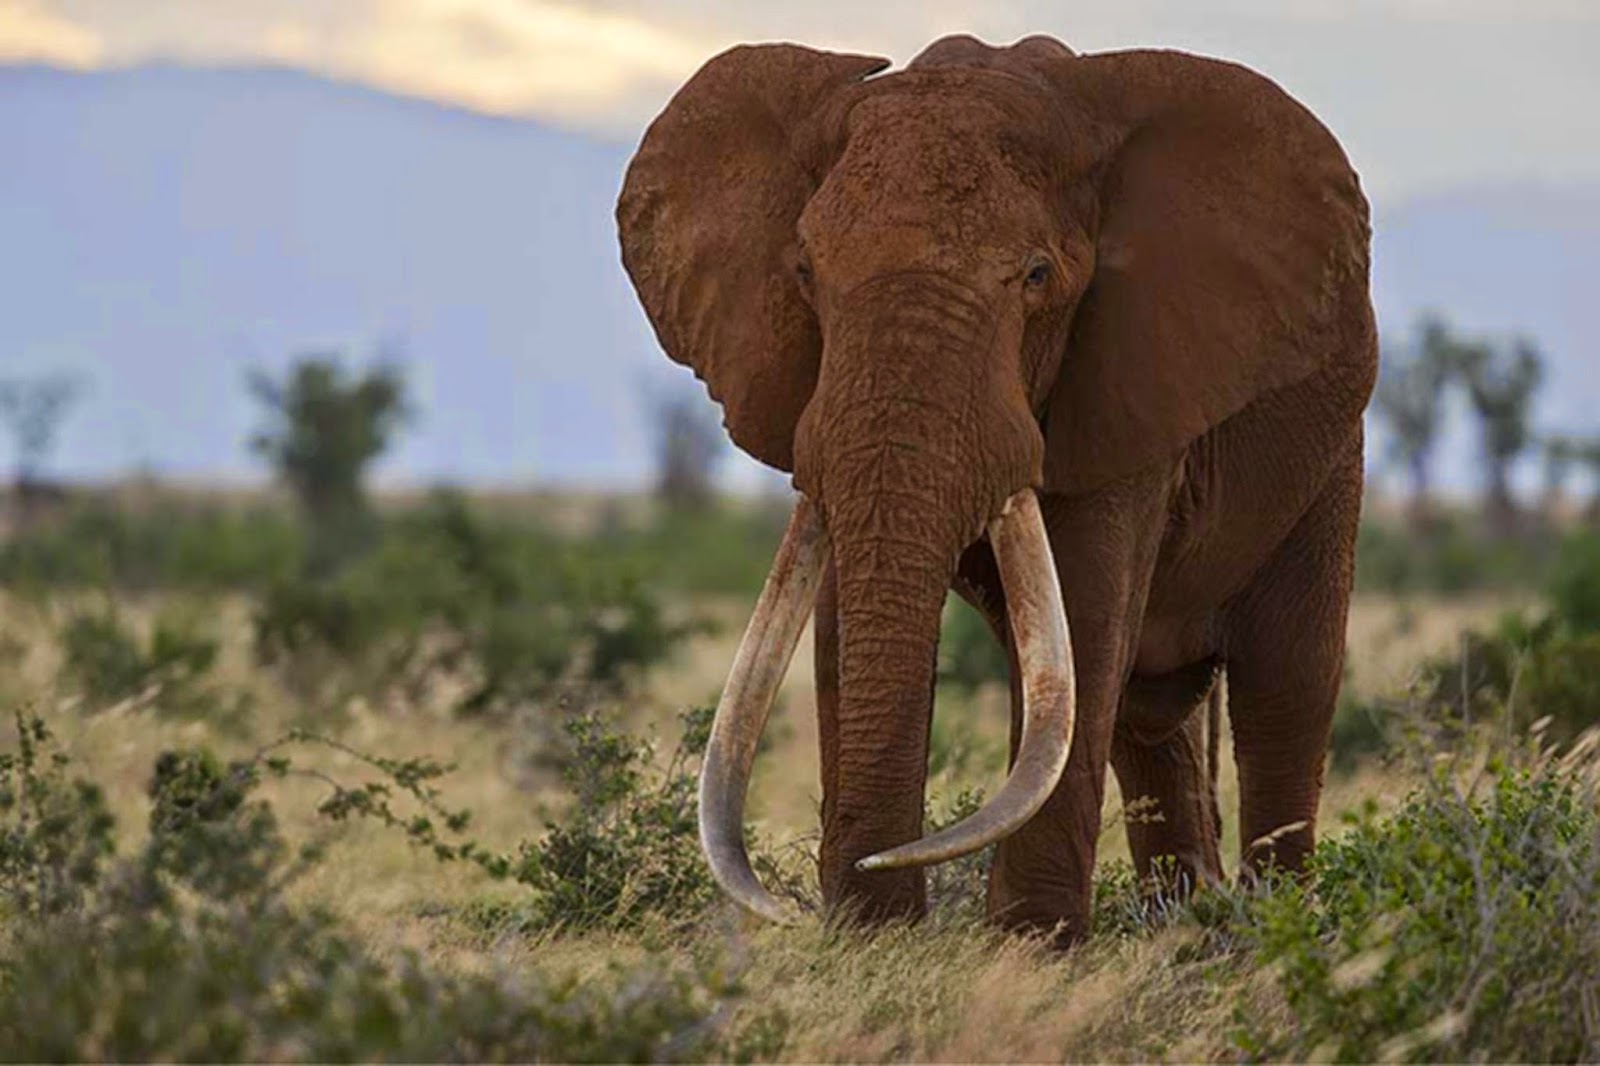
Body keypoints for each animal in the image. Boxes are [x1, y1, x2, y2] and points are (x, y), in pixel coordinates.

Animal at [616, 33, 1376, 944]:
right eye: (803, 270)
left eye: (1039, 276)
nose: (866, 880)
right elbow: (843, 620)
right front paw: (871, 941)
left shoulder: (1128, 376)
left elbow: (1084, 613)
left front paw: (1031, 950)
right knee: (1148, 712)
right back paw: (1189, 930)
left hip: (1330, 451)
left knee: (1284, 688)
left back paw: (1272, 934)